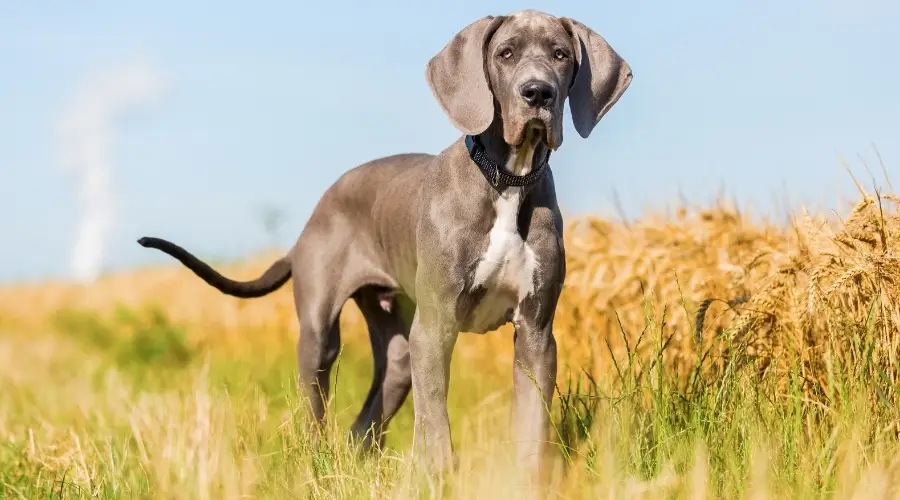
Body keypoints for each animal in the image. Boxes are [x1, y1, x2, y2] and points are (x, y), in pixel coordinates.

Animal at [141, 9, 632, 480]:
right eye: (505, 54)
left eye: (561, 54)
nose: (538, 93)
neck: (506, 179)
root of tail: (311, 219)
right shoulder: (435, 327)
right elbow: (435, 421)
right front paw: (440, 477)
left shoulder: (536, 332)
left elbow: (531, 421)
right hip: (321, 335)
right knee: (316, 406)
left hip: (397, 347)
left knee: (366, 419)